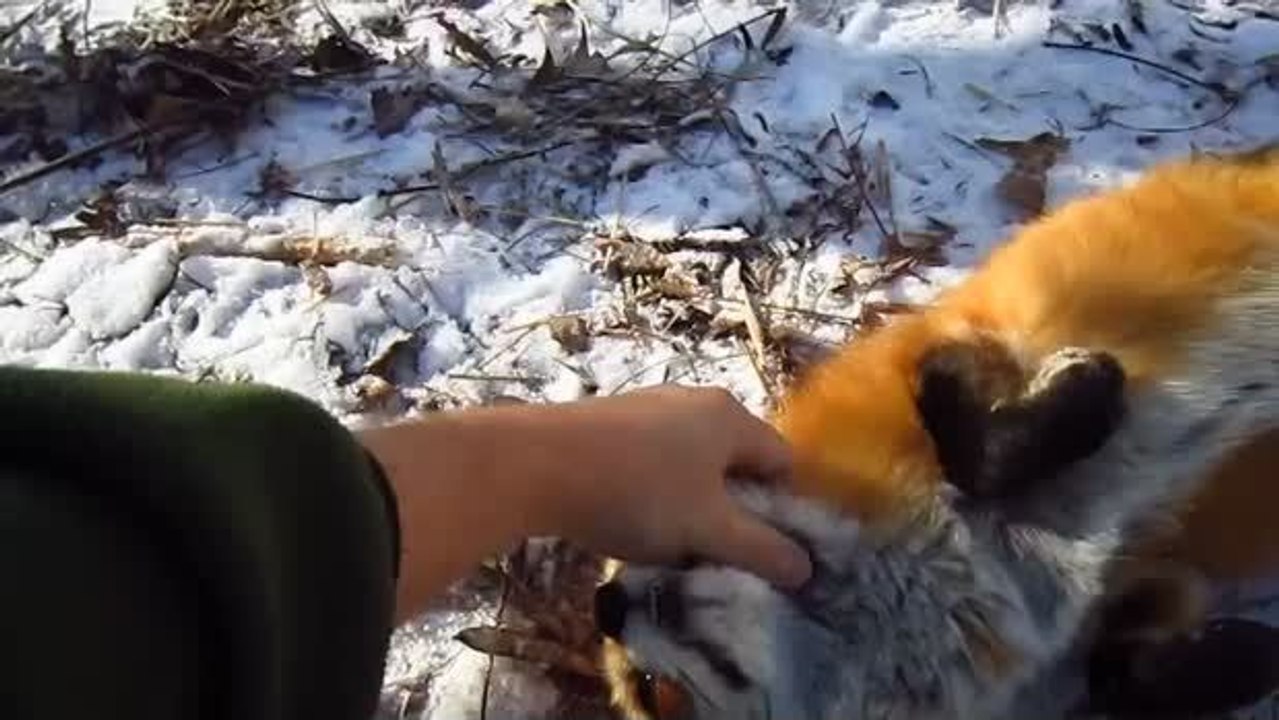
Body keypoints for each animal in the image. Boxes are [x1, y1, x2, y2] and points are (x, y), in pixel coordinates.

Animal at [591, 144, 1279, 720]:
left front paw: (1087, 386)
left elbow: (968, 437)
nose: (607, 605)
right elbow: (1120, 676)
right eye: (650, 692)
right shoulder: (1141, 598)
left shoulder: (948, 341)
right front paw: (1245, 660)